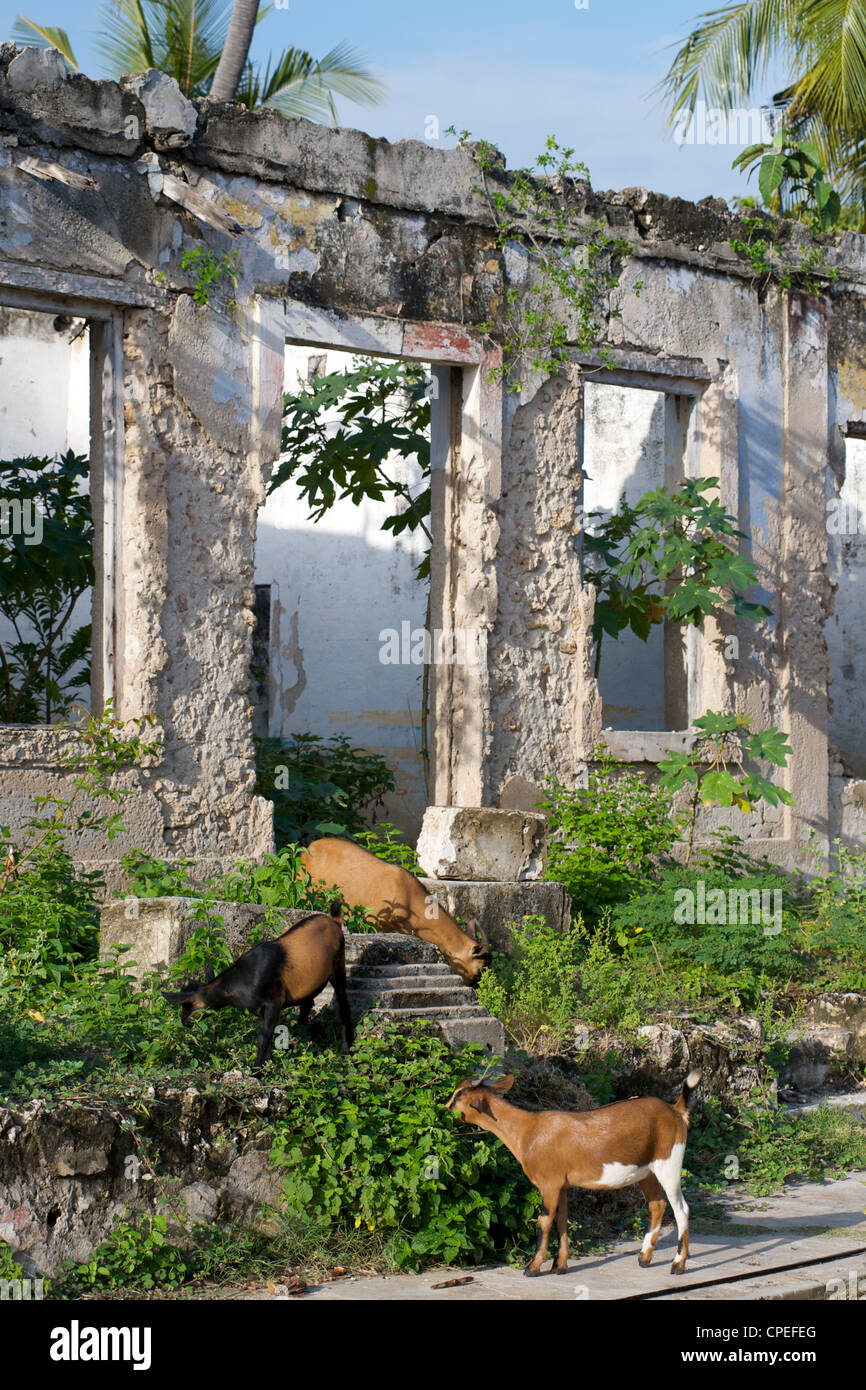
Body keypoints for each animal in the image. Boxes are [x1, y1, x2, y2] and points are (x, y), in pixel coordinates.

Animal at [162, 906, 353, 1067]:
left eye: (188, 1005)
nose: (184, 1022)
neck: (242, 982)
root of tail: (334, 920)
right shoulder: (260, 1009)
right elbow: (268, 1035)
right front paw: (267, 1064)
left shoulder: (274, 1002)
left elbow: (264, 1036)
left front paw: (257, 1071)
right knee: (308, 1003)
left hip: (338, 966)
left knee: (344, 1004)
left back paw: (345, 1050)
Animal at [300, 834, 492, 989]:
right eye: (479, 970)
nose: (475, 988)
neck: (409, 899)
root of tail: (309, 848)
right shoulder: (370, 921)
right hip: (304, 890)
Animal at [447, 1067, 706, 1273]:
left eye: (459, 1095)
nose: (444, 1108)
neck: (527, 1131)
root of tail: (676, 1110)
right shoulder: (561, 1184)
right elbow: (561, 1220)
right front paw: (559, 1266)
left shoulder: (549, 1183)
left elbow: (544, 1221)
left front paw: (533, 1266)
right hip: (647, 1171)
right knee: (657, 1204)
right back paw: (644, 1258)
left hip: (669, 1163)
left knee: (681, 1208)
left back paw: (678, 1264)